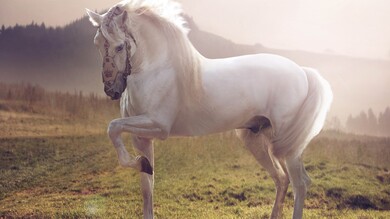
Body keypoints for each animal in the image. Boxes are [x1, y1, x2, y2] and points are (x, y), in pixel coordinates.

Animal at [85, 0, 332, 218]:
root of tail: (302, 71)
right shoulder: (141, 138)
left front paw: (138, 162)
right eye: (96, 43)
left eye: (119, 46)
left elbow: (112, 128)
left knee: (300, 183)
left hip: (287, 146)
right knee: (282, 179)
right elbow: (147, 186)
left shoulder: (157, 126)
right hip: (260, 141)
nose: (111, 90)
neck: (156, 68)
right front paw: (142, 164)